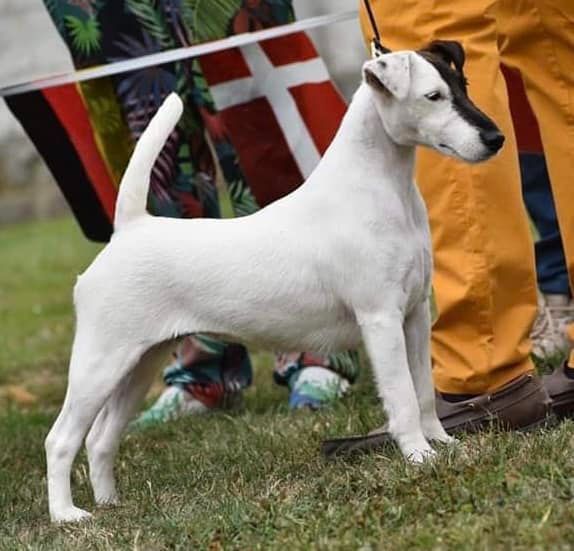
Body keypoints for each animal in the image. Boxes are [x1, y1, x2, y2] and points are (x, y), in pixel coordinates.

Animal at [46, 41, 504, 524]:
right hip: (101, 362)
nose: (495, 139)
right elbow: (402, 396)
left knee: (100, 437)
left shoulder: (414, 316)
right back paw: (67, 516)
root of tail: (129, 228)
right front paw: (419, 456)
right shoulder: (381, 319)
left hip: (139, 364)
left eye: (462, 85)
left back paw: (109, 503)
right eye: (433, 96)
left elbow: (424, 391)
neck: (380, 189)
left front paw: (443, 444)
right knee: (61, 439)